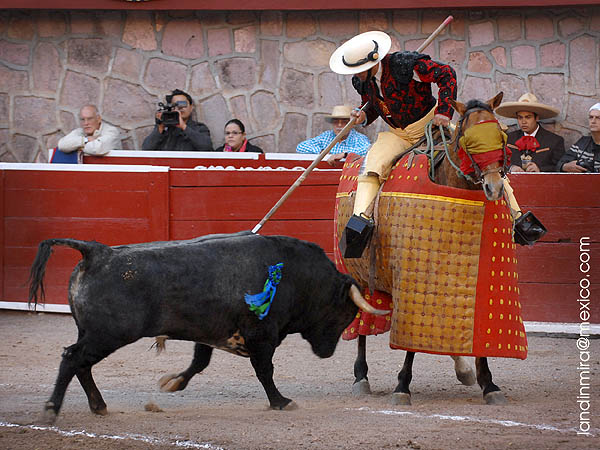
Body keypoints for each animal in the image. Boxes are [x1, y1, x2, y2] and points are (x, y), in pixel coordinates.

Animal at [28, 232, 386, 422]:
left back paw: (99, 406)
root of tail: (96, 252)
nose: (327, 353)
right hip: (108, 334)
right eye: (344, 313)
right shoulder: (261, 335)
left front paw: (173, 383)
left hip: (93, 333)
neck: (297, 275)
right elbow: (264, 371)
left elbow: (200, 361)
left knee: (81, 364)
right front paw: (281, 401)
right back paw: (51, 409)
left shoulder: (209, 332)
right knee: (73, 359)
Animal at [332, 91, 524, 404]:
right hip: (359, 277)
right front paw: (402, 386)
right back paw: (361, 377)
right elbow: (410, 338)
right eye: (467, 139)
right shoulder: (414, 280)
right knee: (363, 321)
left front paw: (488, 383)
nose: (494, 186)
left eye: (502, 136)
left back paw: (463, 369)